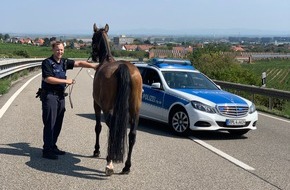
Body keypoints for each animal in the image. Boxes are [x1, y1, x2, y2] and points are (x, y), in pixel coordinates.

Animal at [90, 23, 143, 175]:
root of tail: (123, 67)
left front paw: (97, 150)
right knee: (132, 135)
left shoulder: (96, 105)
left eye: (93, 38)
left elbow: (98, 127)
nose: (93, 57)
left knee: (112, 129)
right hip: (135, 111)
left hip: (107, 109)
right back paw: (127, 166)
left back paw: (110, 161)